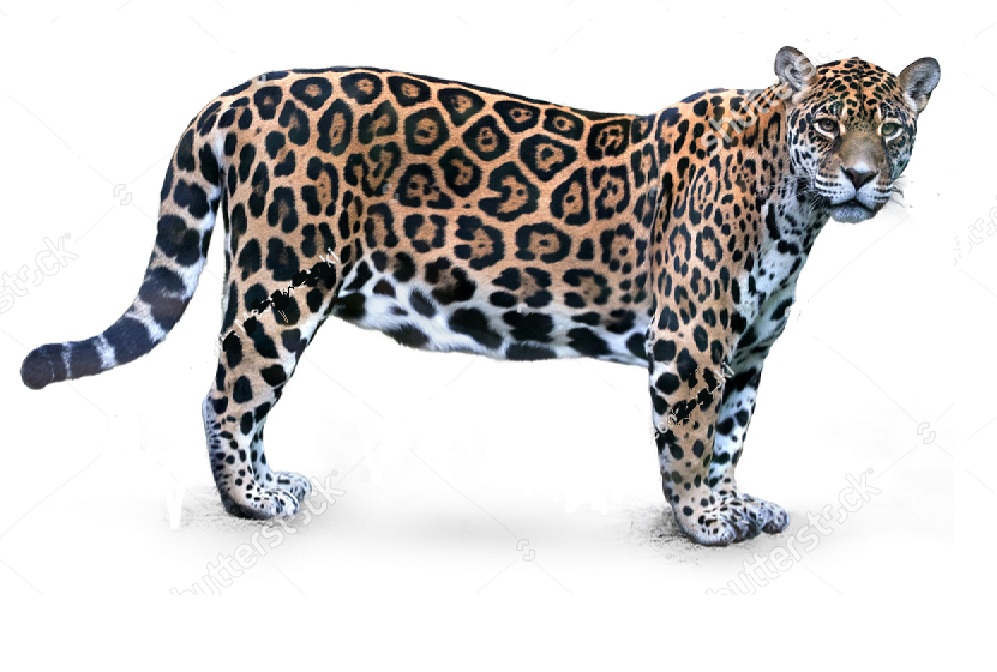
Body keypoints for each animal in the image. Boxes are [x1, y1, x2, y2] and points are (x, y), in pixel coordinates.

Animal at [20, 47, 940, 545]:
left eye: (891, 128)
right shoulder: (689, 347)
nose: (861, 177)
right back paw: (254, 500)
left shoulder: (743, 354)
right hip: (283, 280)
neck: (793, 207)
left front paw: (736, 504)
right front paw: (701, 523)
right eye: (826, 124)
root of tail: (239, 94)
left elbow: (728, 440)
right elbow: (685, 444)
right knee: (229, 393)